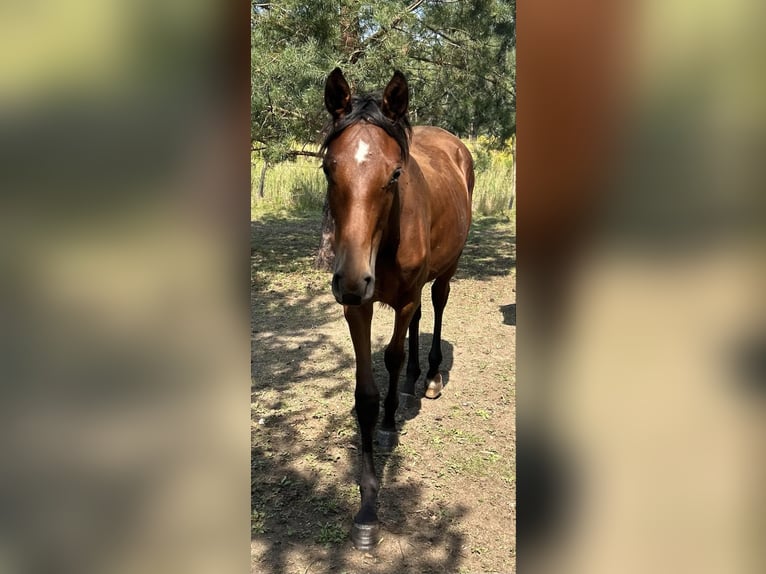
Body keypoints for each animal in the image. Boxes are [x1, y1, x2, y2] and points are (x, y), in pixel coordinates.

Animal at [318, 68, 474, 552]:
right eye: (329, 167)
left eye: (395, 174)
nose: (351, 279)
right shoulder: (359, 308)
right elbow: (366, 393)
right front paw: (367, 507)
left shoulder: (402, 297)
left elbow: (392, 354)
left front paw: (390, 421)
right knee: (419, 320)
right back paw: (411, 380)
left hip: (445, 270)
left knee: (436, 306)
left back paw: (431, 376)